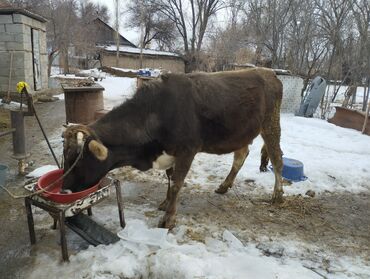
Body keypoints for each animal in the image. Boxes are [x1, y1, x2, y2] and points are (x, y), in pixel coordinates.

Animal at [62, 68, 284, 230]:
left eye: (78, 160)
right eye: (65, 157)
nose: (64, 188)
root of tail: (268, 72)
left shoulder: (187, 150)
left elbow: (177, 182)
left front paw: (169, 218)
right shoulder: (170, 153)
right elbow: (169, 178)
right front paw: (165, 203)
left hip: (271, 124)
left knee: (277, 158)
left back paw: (278, 194)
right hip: (240, 133)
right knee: (241, 155)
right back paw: (224, 185)